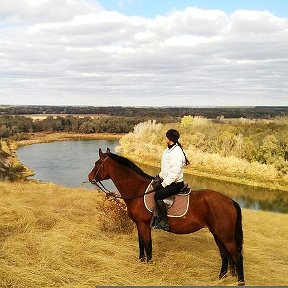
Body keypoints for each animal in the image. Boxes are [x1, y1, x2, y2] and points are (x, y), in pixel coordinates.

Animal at [88, 148, 245, 286]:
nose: (89, 177)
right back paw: (221, 278)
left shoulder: (143, 224)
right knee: (225, 256)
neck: (138, 191)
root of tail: (230, 201)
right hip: (218, 234)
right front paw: (142, 262)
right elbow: (141, 243)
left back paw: (240, 282)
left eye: (97, 163)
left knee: (237, 257)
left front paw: (149, 266)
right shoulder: (140, 224)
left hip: (225, 236)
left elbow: (148, 245)